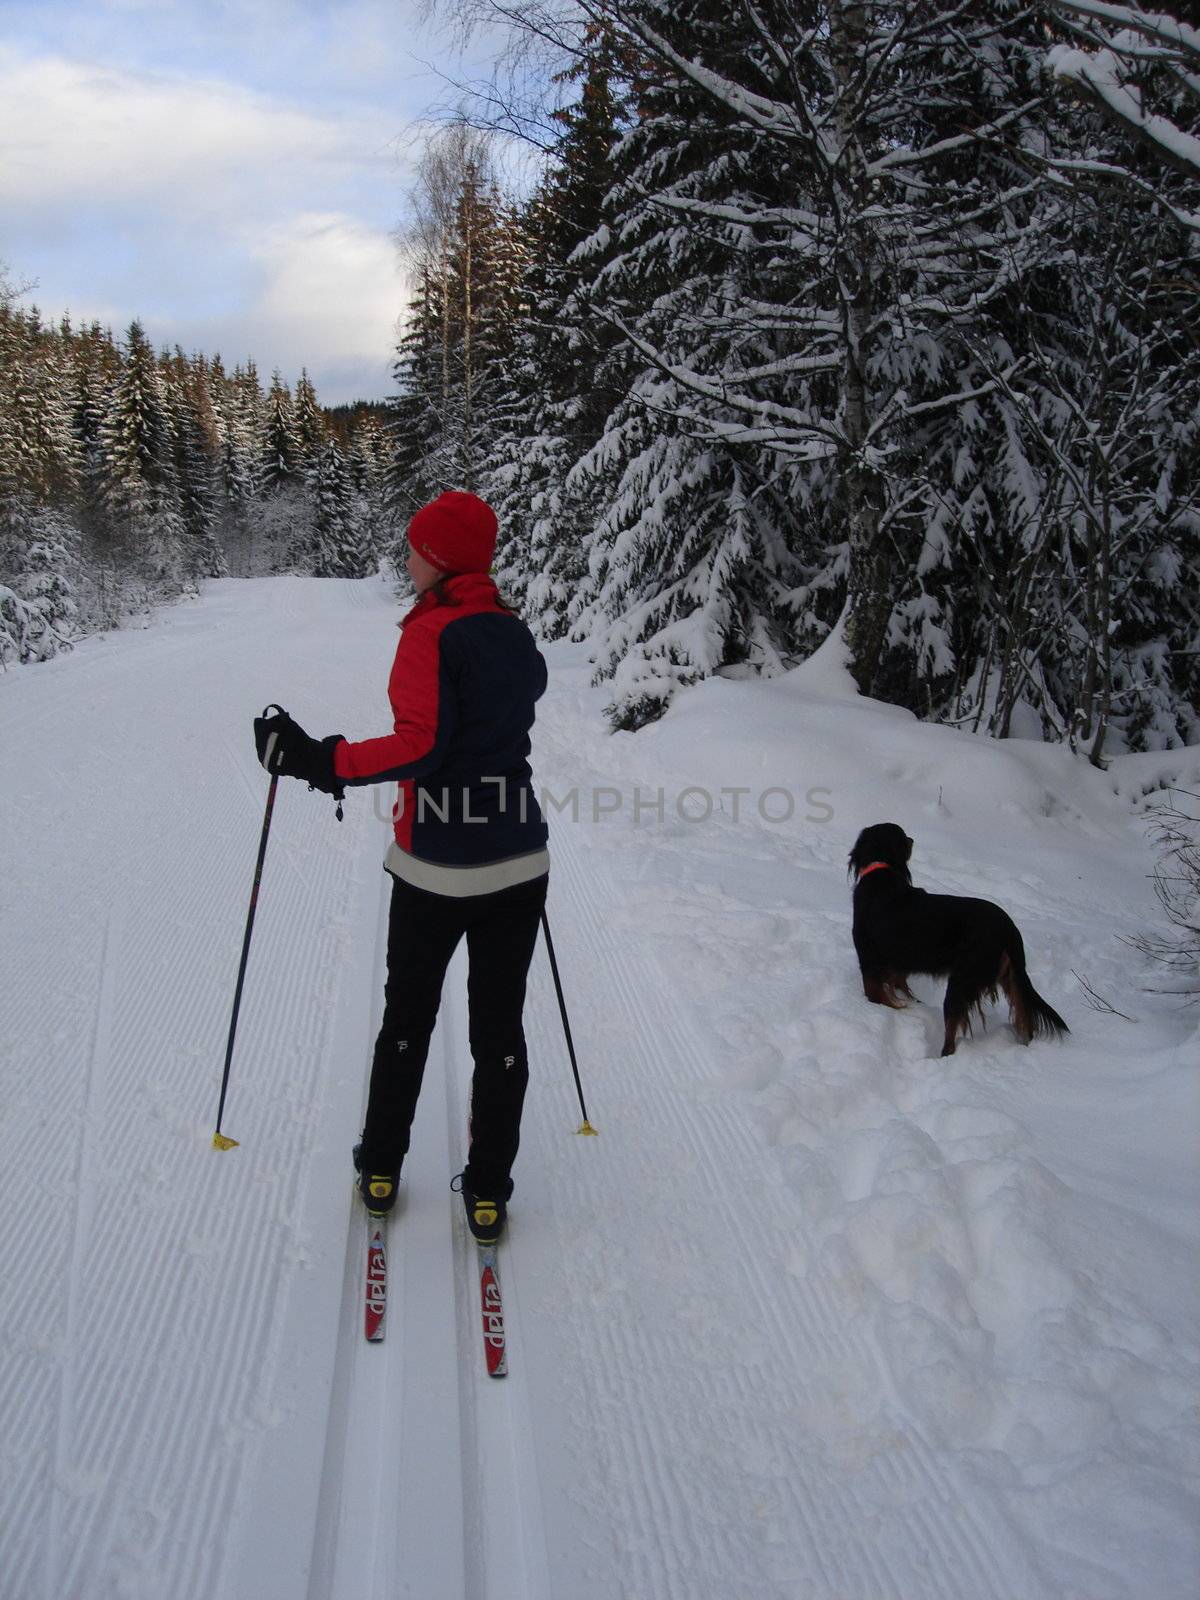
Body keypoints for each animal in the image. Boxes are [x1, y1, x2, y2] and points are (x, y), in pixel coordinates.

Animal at [844, 825, 1068, 1062]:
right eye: (903, 836)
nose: (912, 839)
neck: (880, 872)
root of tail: (1009, 928)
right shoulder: (896, 966)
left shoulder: (869, 961)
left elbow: (875, 994)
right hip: (1009, 977)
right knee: (1024, 1015)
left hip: (962, 980)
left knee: (952, 1031)